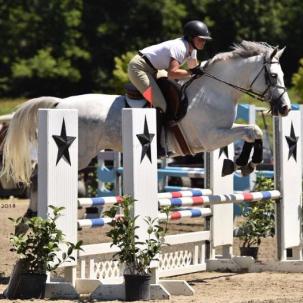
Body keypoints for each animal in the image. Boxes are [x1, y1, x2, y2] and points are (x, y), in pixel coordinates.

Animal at [1, 41, 294, 226]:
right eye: (272, 76)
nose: (285, 108)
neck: (214, 91)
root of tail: (61, 103)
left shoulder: (217, 137)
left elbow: (253, 132)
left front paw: (243, 163)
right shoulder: (210, 137)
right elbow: (252, 129)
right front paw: (244, 162)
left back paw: (31, 218)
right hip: (79, 152)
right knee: (38, 175)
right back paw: (30, 217)